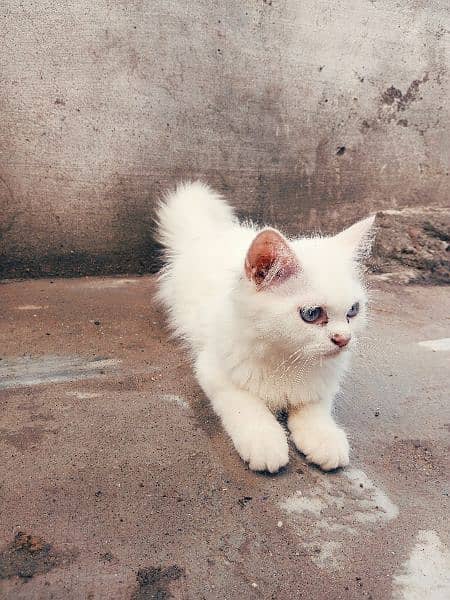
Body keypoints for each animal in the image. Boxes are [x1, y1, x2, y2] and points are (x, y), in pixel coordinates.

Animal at [156, 180, 374, 472]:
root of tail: (214, 234)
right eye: (312, 314)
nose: (344, 339)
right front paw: (265, 441)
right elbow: (247, 405)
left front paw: (324, 438)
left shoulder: (322, 384)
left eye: (353, 310)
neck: (287, 359)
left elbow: (314, 409)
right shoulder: (214, 370)